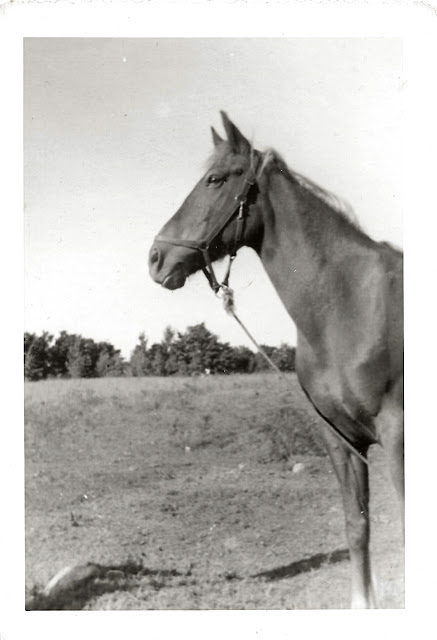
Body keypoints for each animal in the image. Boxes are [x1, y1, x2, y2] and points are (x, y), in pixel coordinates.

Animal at [148, 111, 404, 608]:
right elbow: (357, 525)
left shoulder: (398, 434)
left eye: (214, 179)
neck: (347, 303)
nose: (156, 257)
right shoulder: (340, 439)